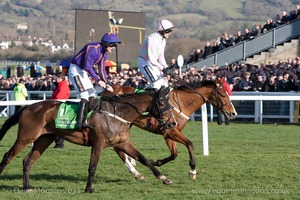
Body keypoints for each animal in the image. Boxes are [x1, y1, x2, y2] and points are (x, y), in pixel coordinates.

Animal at [0, 87, 176, 192]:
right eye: (162, 103)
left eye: (169, 103)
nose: (173, 123)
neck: (118, 114)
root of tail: (28, 107)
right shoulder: (98, 143)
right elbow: (92, 167)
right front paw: (88, 188)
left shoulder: (123, 143)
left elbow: (144, 159)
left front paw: (164, 178)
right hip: (25, 138)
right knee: (8, 156)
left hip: (43, 140)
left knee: (28, 161)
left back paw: (27, 187)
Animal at [108, 79, 237, 180]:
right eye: (223, 94)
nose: (233, 113)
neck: (182, 103)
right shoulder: (171, 131)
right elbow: (190, 144)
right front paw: (193, 170)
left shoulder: (169, 133)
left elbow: (174, 154)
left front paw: (156, 162)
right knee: (117, 147)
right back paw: (134, 170)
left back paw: (133, 166)